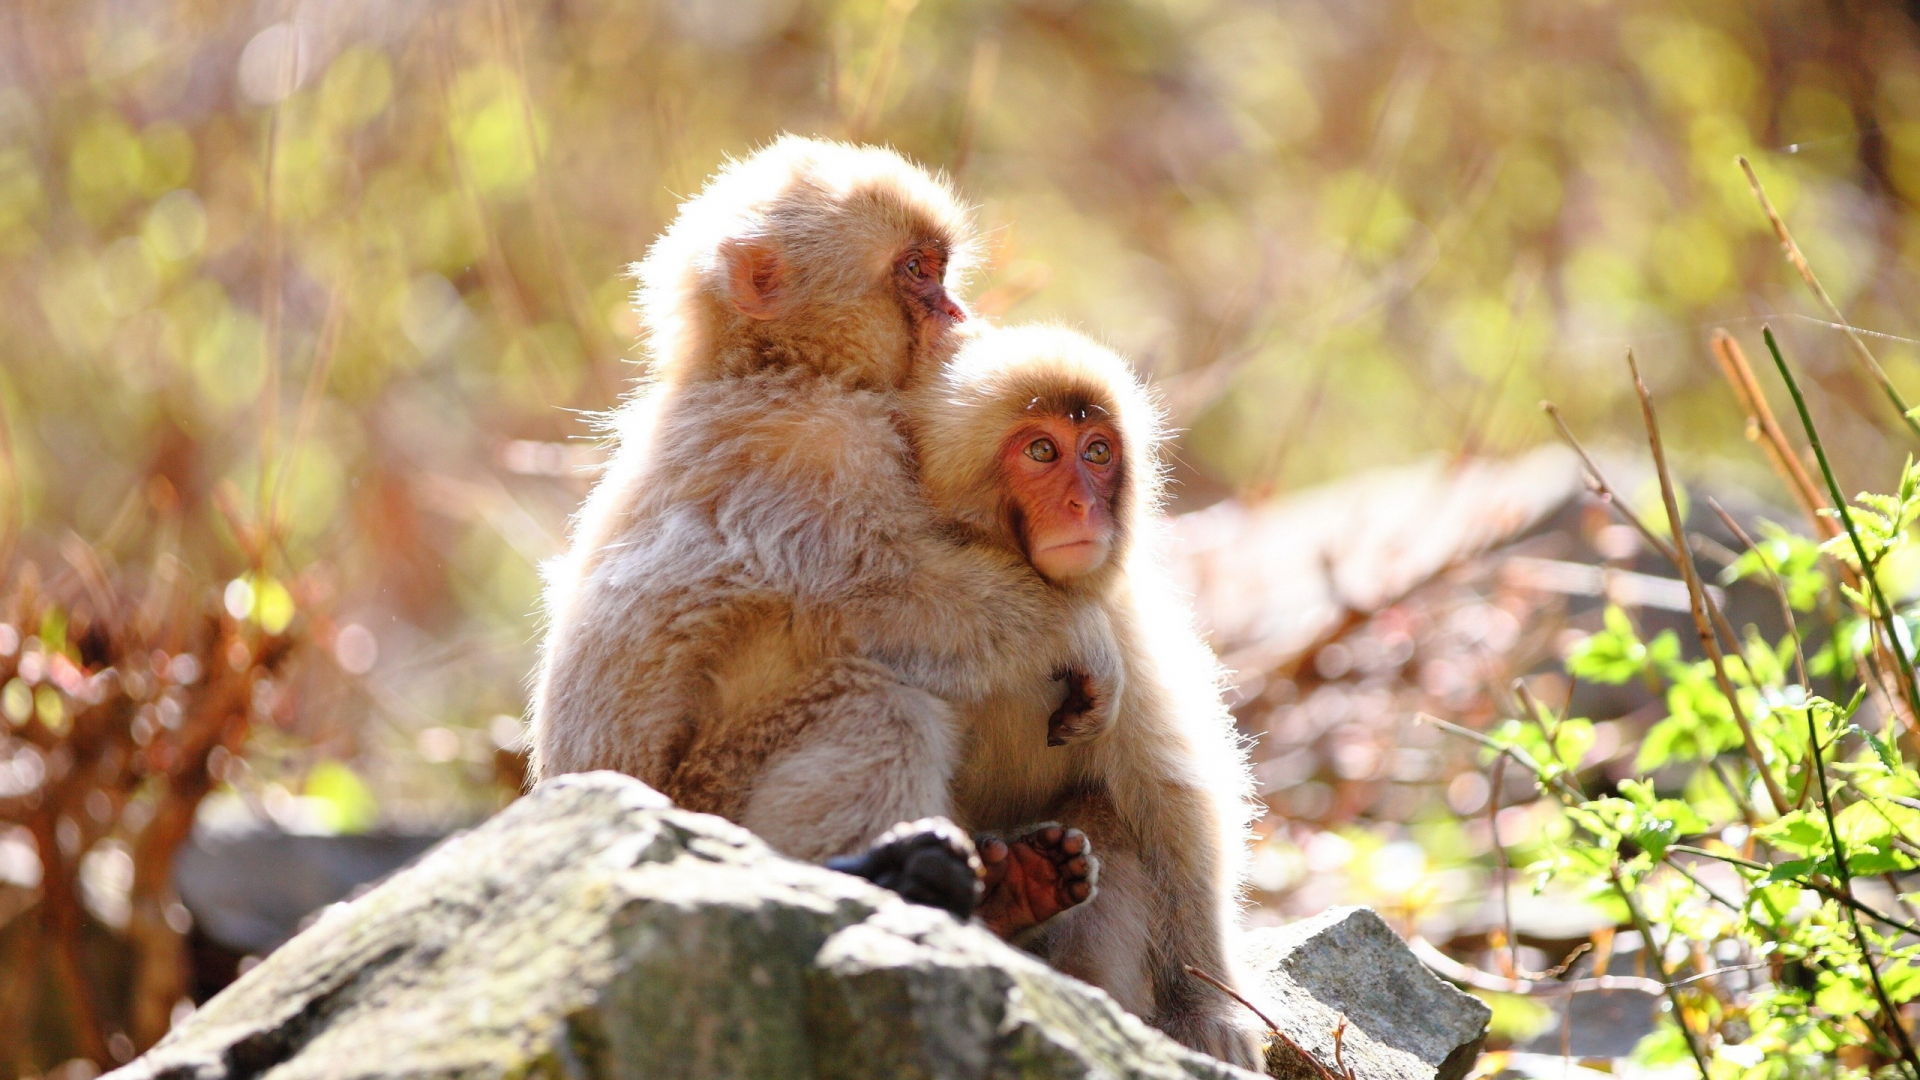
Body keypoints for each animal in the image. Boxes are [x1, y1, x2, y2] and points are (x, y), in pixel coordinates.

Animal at [529, 138, 1113, 933]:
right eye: (916, 271)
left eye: (939, 269)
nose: (955, 309)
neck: (779, 366)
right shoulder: (818, 452)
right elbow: (894, 597)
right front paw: (1083, 634)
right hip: (713, 794)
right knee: (877, 706)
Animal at [906, 319, 1267, 1060]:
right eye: (1042, 451)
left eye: (1098, 453)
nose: (1083, 506)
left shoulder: (1121, 625)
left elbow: (1170, 799)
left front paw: (1208, 1010)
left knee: (1107, 813)